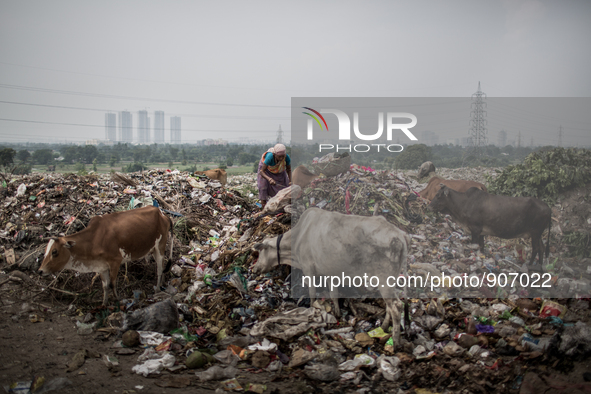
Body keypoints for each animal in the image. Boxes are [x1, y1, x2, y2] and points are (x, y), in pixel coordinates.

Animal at [40, 206, 171, 304]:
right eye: (45, 251)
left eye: (54, 252)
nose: (40, 271)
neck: (94, 239)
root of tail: (162, 213)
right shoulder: (101, 267)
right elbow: (105, 286)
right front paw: (104, 304)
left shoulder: (115, 261)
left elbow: (112, 283)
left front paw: (118, 299)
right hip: (152, 249)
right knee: (163, 265)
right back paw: (162, 283)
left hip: (160, 246)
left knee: (159, 268)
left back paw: (157, 289)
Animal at [252, 209, 410, 348]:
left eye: (260, 252)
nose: (255, 268)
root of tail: (400, 234)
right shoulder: (329, 271)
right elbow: (334, 294)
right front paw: (337, 314)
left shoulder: (308, 268)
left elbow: (312, 293)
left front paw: (312, 310)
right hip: (390, 279)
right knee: (390, 305)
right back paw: (384, 327)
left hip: (383, 278)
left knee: (396, 306)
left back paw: (395, 341)